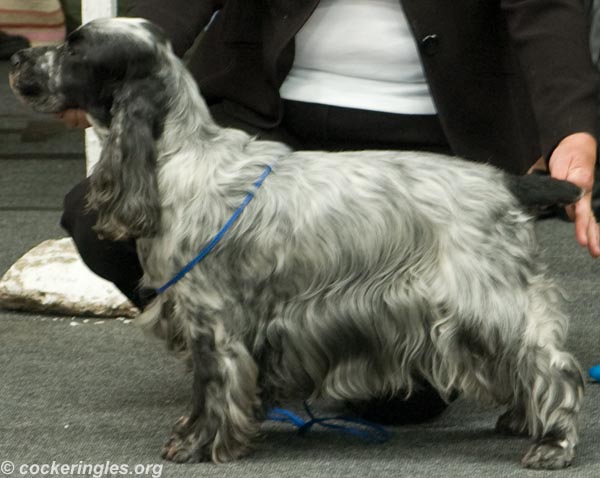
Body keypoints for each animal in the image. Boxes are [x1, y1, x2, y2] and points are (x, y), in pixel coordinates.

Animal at [7, 15, 584, 470]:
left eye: (75, 48)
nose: (15, 56)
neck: (177, 159)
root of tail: (506, 182)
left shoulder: (210, 317)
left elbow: (211, 385)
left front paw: (196, 445)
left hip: (485, 300)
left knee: (549, 363)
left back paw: (552, 443)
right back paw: (520, 420)